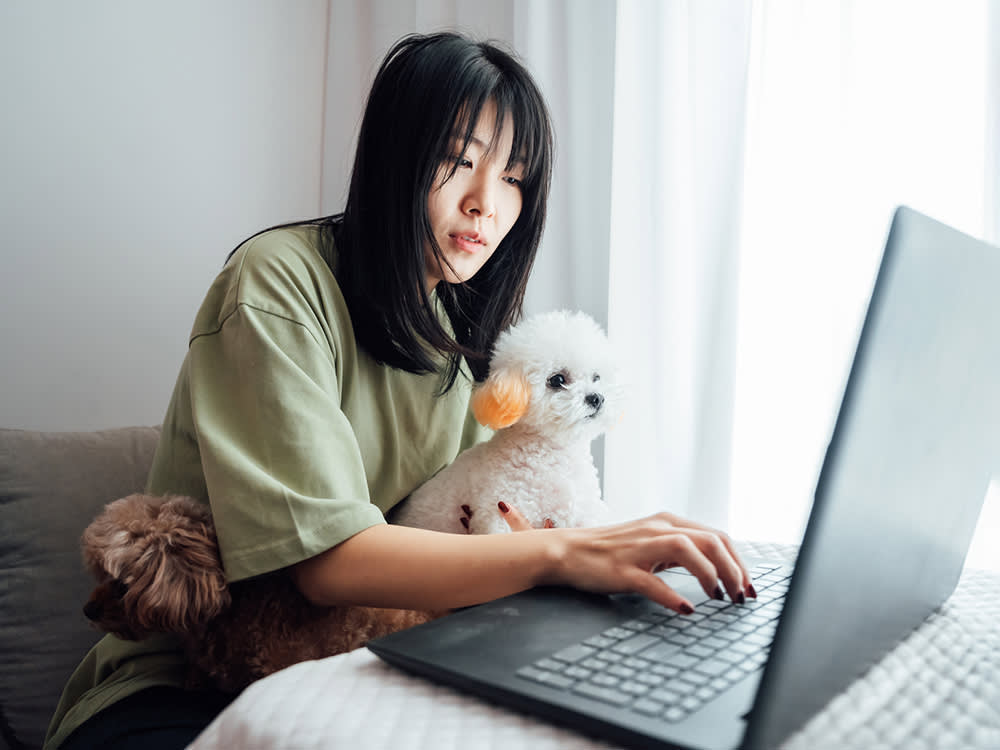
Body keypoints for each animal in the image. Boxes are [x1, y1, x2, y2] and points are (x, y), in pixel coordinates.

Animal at [392, 310, 620, 536]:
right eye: (557, 380)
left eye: (596, 377)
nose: (596, 398)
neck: (554, 456)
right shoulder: (499, 515)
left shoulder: (584, 515)